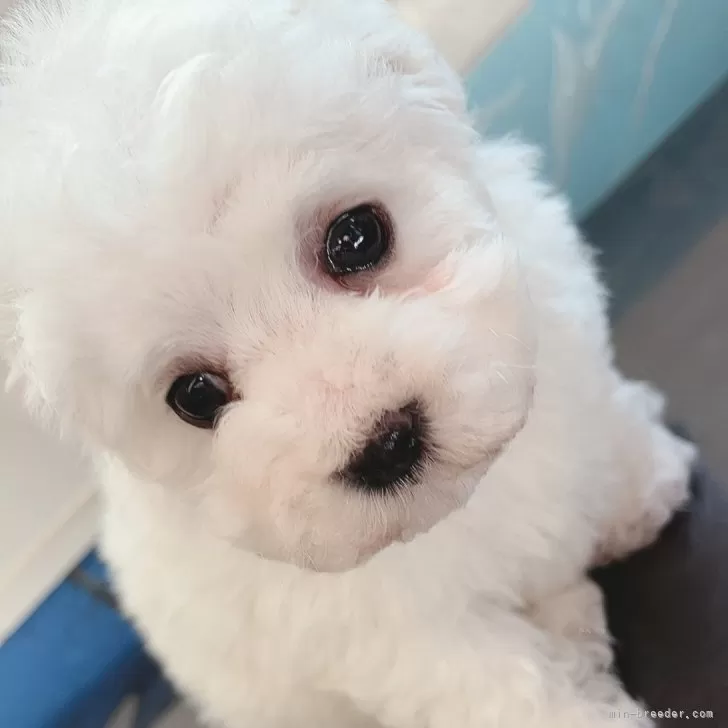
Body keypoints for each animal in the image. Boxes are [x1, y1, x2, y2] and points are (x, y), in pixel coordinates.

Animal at [0, 1, 696, 726]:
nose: (385, 444)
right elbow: (509, 689)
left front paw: (642, 488)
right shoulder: (412, 639)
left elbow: (602, 437)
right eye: (194, 395)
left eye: (356, 236)